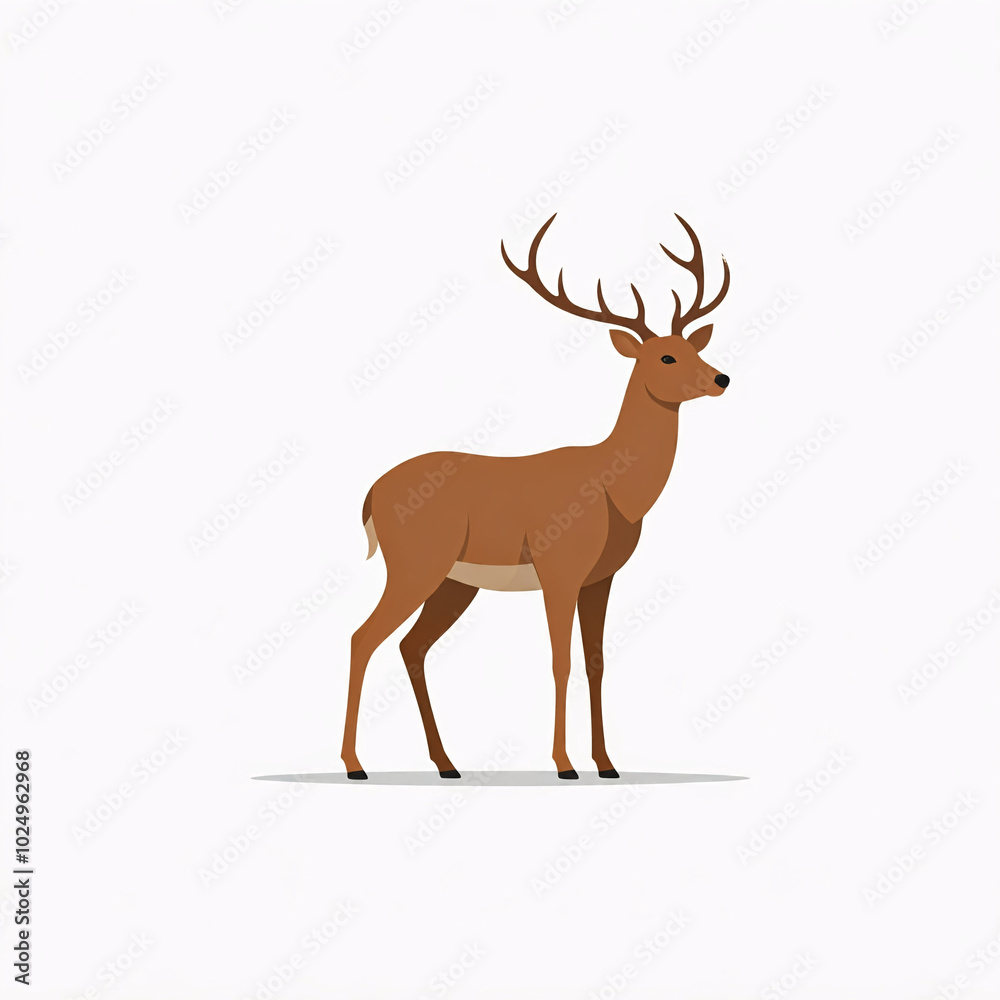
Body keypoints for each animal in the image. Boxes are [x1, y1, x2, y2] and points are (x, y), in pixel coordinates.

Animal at [341, 213, 730, 780]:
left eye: (695, 348)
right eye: (665, 355)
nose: (722, 377)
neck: (613, 489)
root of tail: (370, 494)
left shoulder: (601, 577)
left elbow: (595, 662)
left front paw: (607, 763)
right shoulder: (560, 569)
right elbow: (560, 661)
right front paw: (565, 764)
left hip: (453, 582)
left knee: (411, 646)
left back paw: (447, 763)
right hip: (416, 564)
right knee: (362, 637)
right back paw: (354, 764)